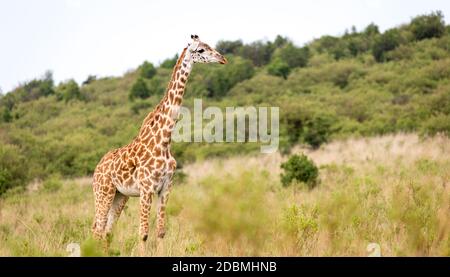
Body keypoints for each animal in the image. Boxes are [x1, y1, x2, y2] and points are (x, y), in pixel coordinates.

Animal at [91, 34, 227, 244]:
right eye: (201, 50)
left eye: (210, 45)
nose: (222, 59)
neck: (164, 140)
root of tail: (96, 168)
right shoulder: (146, 189)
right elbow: (143, 233)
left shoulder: (166, 187)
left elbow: (161, 232)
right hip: (103, 192)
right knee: (97, 230)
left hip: (120, 195)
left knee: (106, 231)